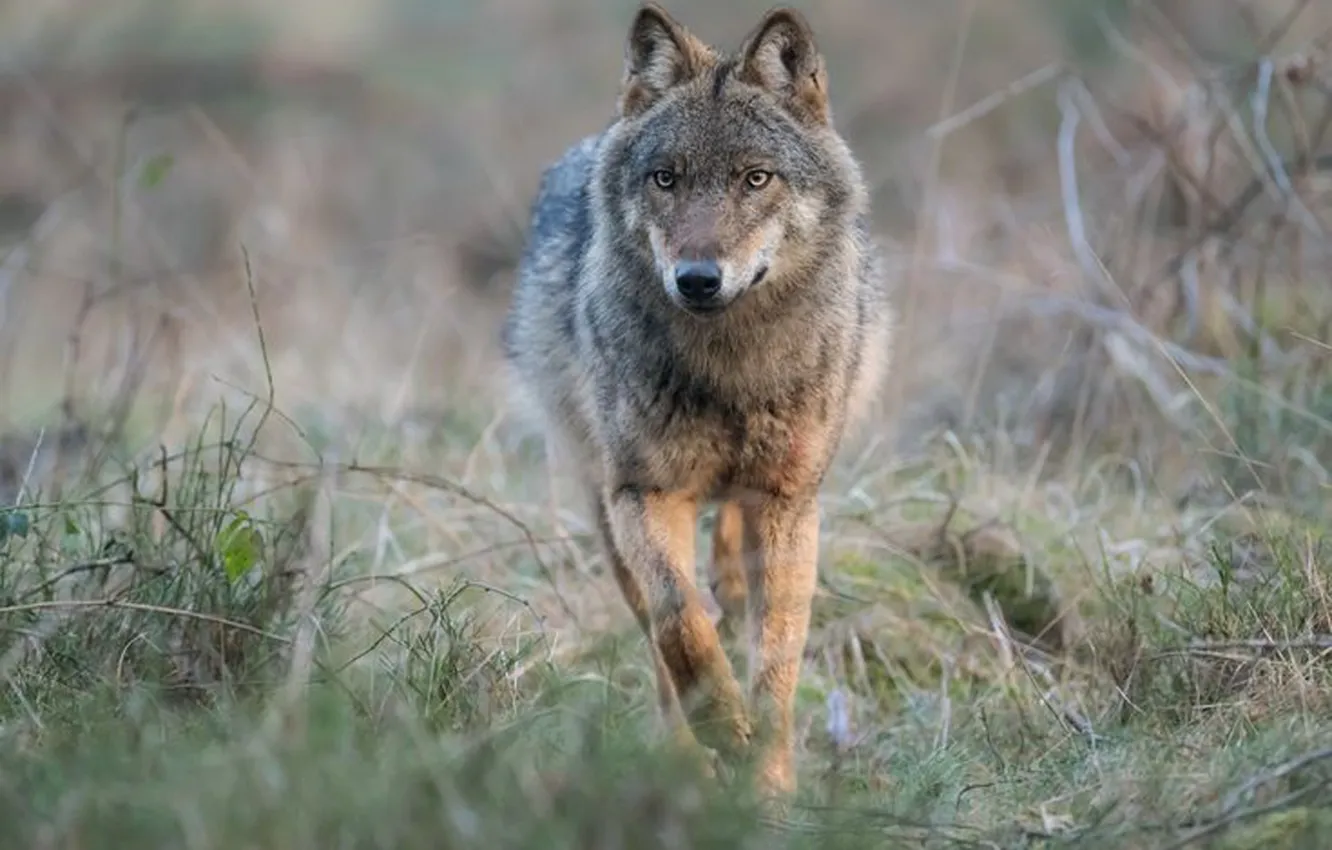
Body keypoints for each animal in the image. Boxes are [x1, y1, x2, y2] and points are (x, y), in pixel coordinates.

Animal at [501, 2, 893, 800]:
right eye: (665, 179)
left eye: (755, 178)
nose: (698, 279)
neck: (730, 372)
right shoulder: (641, 494)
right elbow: (678, 621)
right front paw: (721, 729)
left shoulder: (792, 501)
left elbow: (777, 661)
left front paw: (770, 788)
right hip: (601, 502)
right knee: (658, 638)